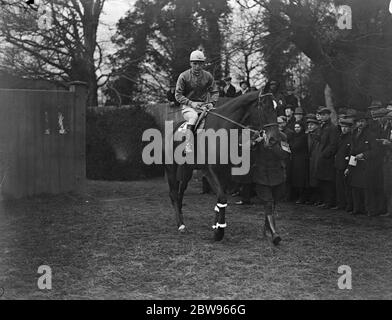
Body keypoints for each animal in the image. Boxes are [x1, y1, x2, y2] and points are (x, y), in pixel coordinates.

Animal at [163, 91, 282, 241]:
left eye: (276, 108)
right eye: (265, 108)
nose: (274, 139)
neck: (222, 131)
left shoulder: (225, 172)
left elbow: (220, 199)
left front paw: (216, 227)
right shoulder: (209, 171)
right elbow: (222, 197)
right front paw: (219, 232)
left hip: (187, 171)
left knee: (180, 193)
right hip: (171, 168)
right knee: (173, 194)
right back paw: (181, 225)